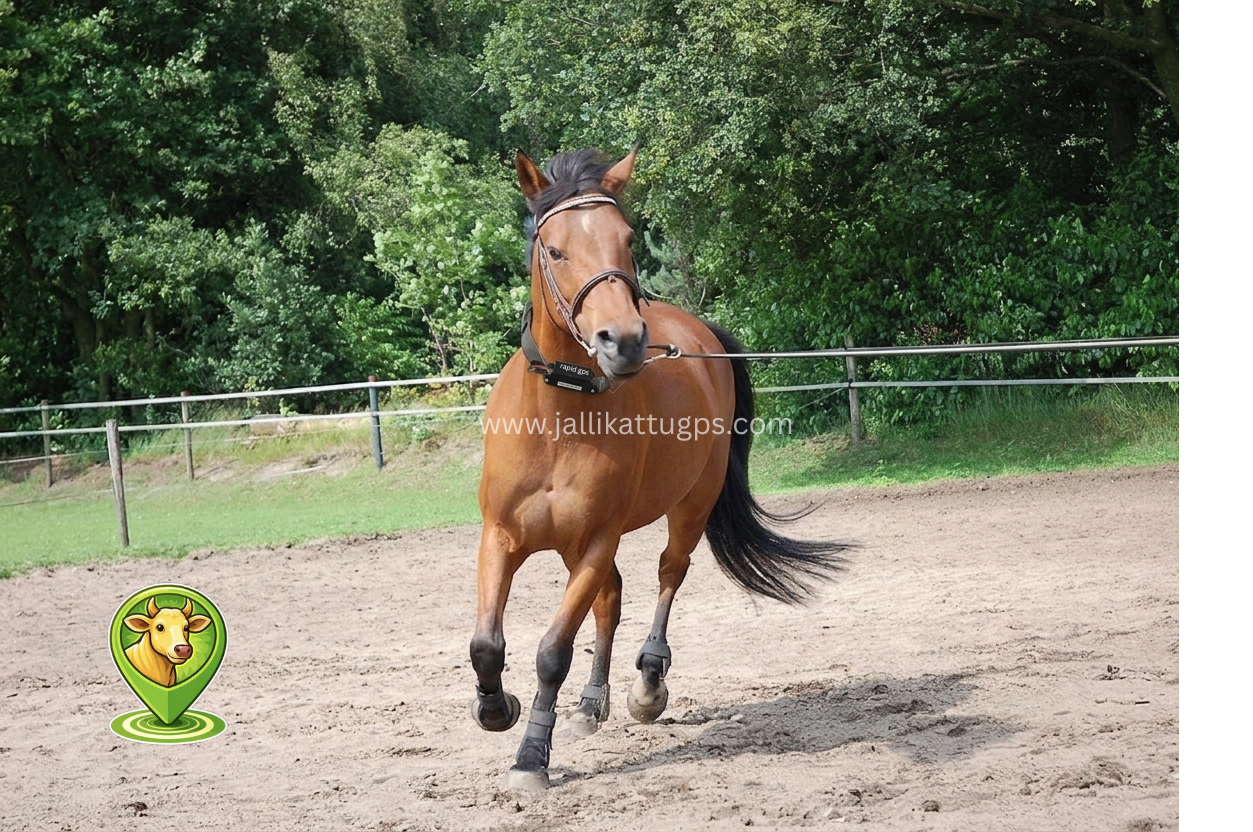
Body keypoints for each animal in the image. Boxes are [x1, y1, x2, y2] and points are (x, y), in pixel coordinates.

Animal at [469, 147, 848, 791]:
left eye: (626, 240)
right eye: (555, 250)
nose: (622, 341)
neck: (558, 420)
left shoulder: (597, 541)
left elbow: (552, 651)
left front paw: (530, 758)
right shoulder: (503, 538)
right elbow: (487, 646)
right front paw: (496, 710)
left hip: (687, 510)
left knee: (669, 575)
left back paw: (647, 685)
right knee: (611, 600)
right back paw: (590, 704)